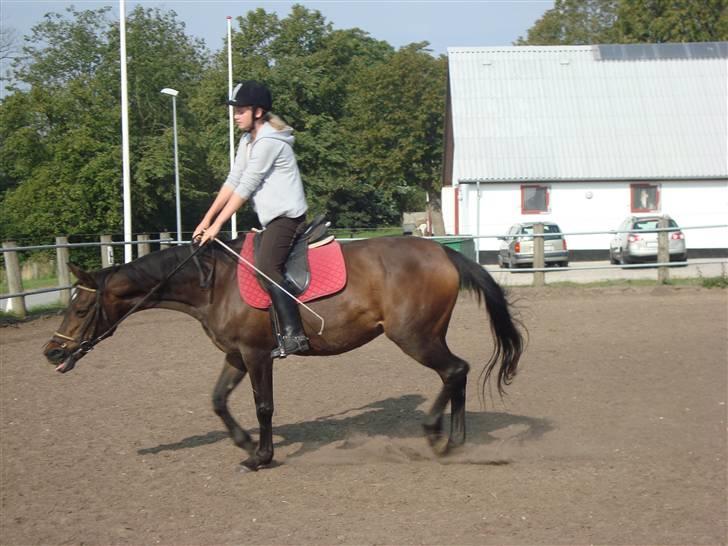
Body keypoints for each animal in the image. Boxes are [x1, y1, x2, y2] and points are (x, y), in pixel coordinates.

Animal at [43, 235, 524, 471]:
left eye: (81, 308)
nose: (51, 352)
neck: (213, 284)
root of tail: (443, 252)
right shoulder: (236, 356)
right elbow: (218, 400)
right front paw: (242, 442)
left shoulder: (257, 354)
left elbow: (263, 406)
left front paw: (261, 456)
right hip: (422, 337)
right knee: (455, 373)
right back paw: (455, 441)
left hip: (415, 337)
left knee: (455, 370)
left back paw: (437, 435)